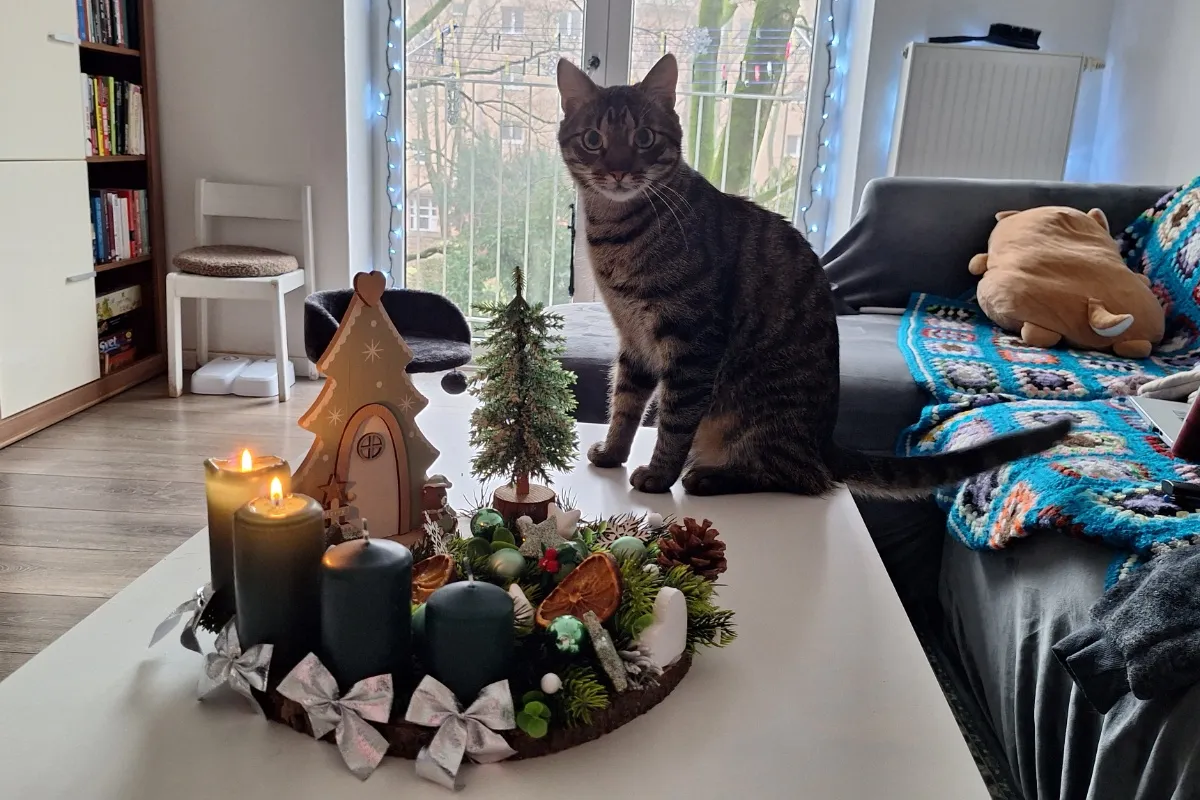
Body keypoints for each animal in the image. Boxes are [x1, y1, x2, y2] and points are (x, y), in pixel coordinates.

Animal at [555, 54, 1069, 497]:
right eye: (593, 140)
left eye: (644, 138)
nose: (618, 171)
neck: (616, 233)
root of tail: (825, 441)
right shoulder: (634, 339)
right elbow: (624, 404)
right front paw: (613, 452)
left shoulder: (693, 343)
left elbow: (674, 420)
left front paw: (659, 476)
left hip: (759, 413)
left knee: (803, 478)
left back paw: (710, 476)